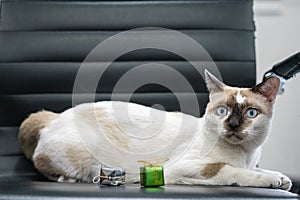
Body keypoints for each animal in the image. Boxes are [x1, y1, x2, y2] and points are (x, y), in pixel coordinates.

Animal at [18, 70, 290, 191]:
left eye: (250, 113)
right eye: (222, 111)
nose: (232, 125)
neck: (245, 154)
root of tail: (57, 116)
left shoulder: (249, 162)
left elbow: (256, 169)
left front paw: (282, 178)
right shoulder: (188, 167)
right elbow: (232, 171)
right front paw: (271, 180)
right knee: (46, 166)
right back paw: (70, 179)